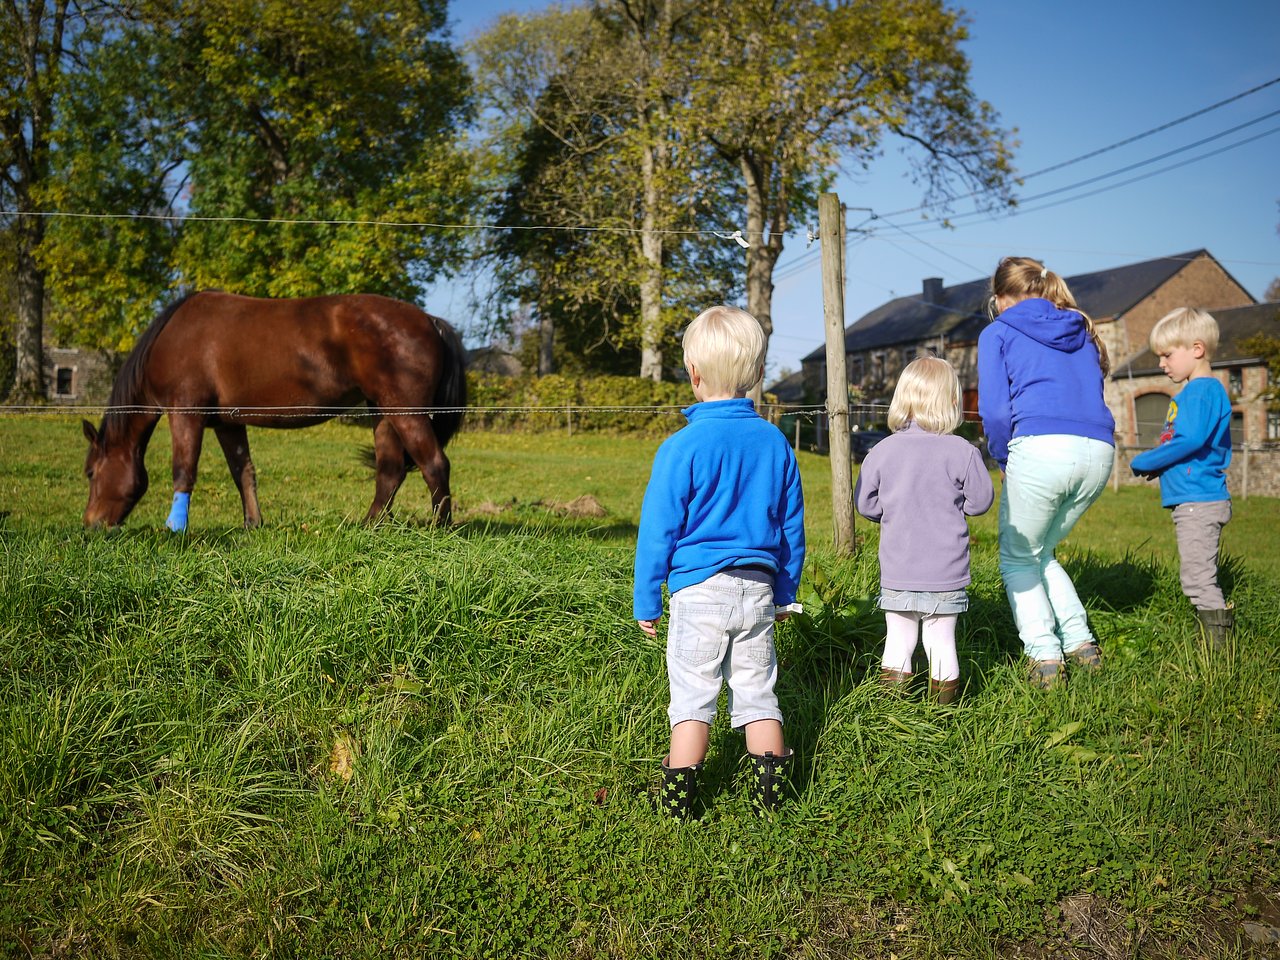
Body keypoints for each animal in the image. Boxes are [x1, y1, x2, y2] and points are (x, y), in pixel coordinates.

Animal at [82, 291, 467, 530]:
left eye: (89, 472)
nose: (91, 524)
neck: (171, 338)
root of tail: (430, 320)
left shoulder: (185, 413)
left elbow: (183, 471)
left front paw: (176, 528)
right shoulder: (226, 423)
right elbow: (243, 472)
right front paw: (252, 523)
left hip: (405, 411)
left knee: (434, 464)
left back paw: (439, 529)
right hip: (383, 413)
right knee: (390, 471)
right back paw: (370, 525)